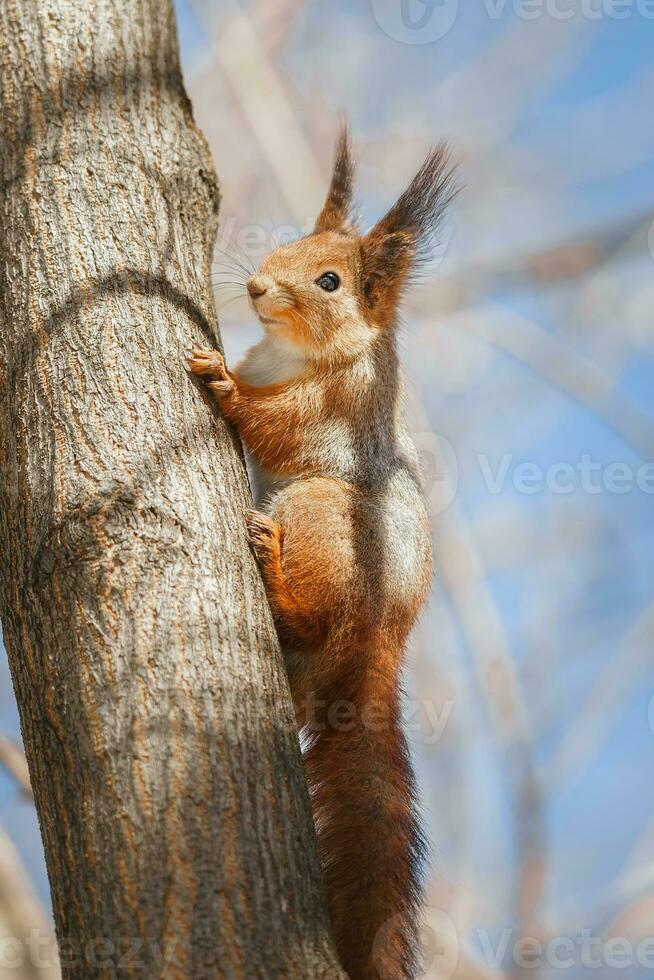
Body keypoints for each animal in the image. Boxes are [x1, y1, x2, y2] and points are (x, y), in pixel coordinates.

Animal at [188, 130, 456, 980]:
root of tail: (379, 645)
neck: (294, 357)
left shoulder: (331, 415)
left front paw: (223, 384)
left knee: (309, 615)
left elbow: (272, 427)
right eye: (285, 245)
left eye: (330, 281)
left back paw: (274, 572)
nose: (256, 287)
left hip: (321, 512)